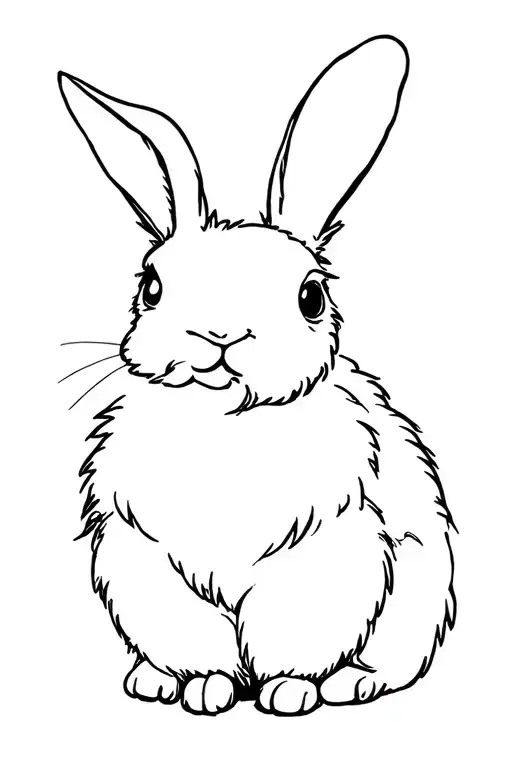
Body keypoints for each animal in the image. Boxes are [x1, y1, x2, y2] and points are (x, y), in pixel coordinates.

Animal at [58, 34, 456, 717]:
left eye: (311, 296)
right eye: (150, 287)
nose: (219, 336)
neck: (224, 423)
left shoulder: (324, 559)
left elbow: (291, 643)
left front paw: (288, 694)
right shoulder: (148, 564)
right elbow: (200, 646)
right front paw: (205, 690)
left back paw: (351, 683)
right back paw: (153, 680)